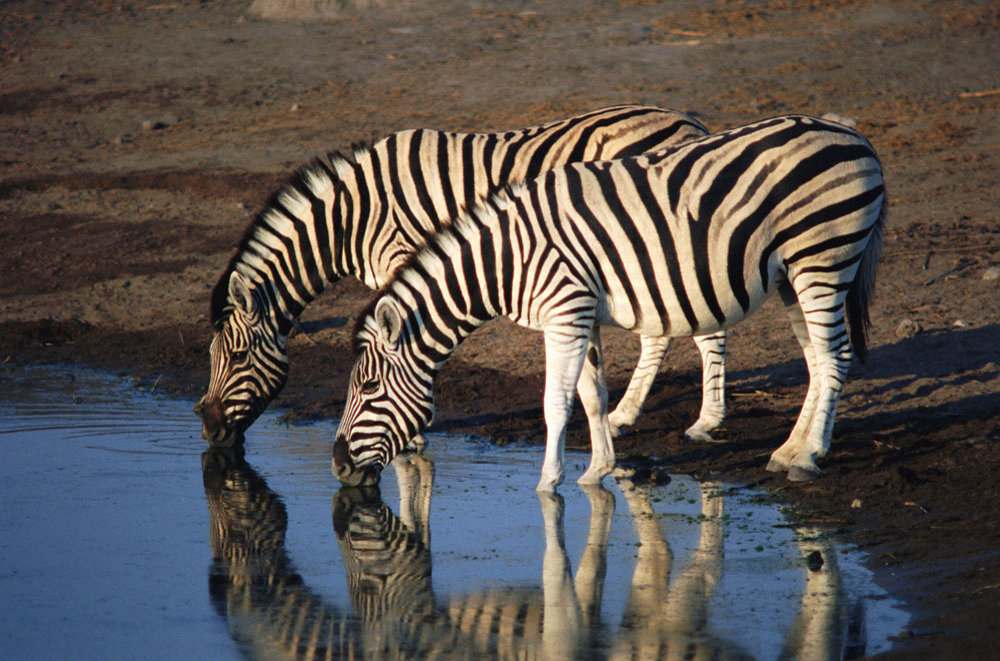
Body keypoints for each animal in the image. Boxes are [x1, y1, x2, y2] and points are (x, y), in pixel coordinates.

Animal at [191, 105, 724, 448]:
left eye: (236, 356)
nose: (209, 430)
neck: (352, 216)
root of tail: (690, 121)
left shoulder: (402, 256)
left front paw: (410, 431)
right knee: (661, 329)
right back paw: (624, 416)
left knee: (704, 324)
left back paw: (706, 422)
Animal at [332, 113, 888, 488]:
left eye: (369, 385)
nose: (336, 464)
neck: (507, 258)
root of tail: (855, 135)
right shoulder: (580, 316)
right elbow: (593, 394)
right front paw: (598, 470)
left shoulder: (565, 313)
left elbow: (556, 402)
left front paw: (548, 484)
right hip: (793, 274)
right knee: (817, 359)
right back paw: (789, 449)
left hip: (824, 258)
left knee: (835, 357)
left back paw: (809, 457)